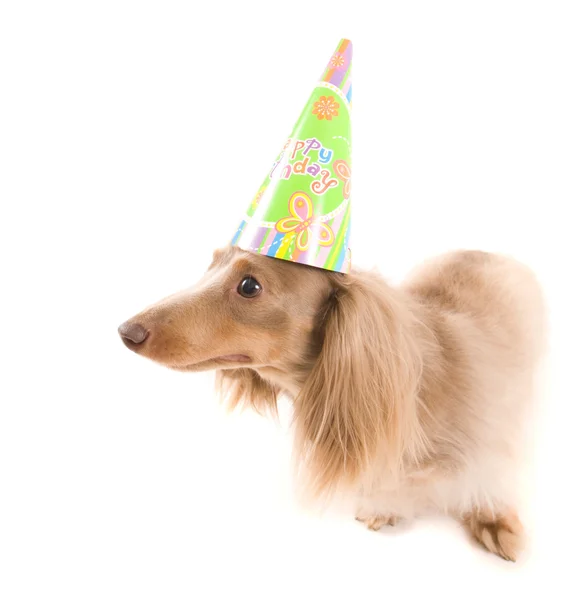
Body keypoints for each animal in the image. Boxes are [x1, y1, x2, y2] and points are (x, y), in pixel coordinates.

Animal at [118, 245, 548, 564]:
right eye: (211, 264)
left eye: (249, 286)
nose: (126, 331)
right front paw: (384, 505)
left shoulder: (493, 434)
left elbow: (488, 480)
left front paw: (494, 520)